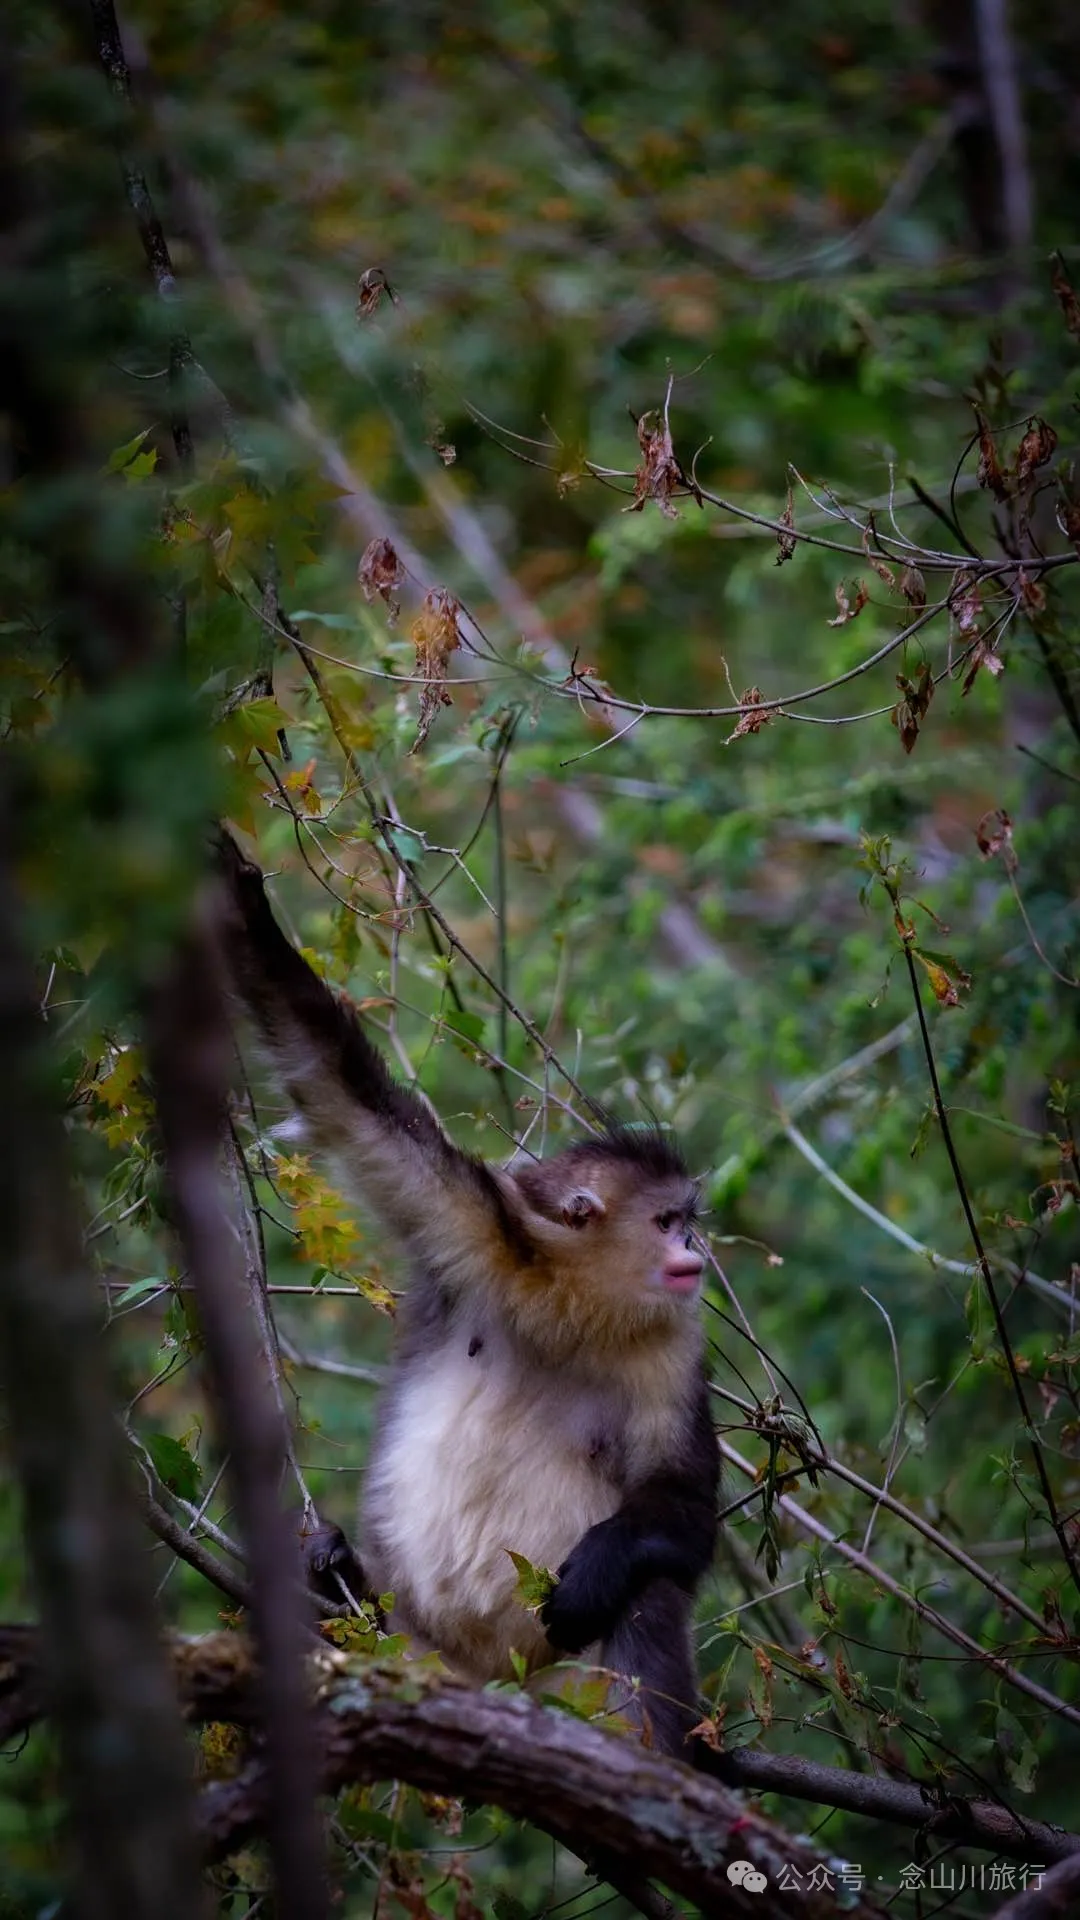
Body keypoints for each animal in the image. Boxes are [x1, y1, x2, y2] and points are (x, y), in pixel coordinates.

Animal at [213, 832, 719, 1759]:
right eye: (669, 1221)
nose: (692, 1254)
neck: (569, 1303)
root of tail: (480, 1675)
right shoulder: (474, 1227)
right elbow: (337, 1088)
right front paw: (238, 896)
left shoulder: (674, 1343)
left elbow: (685, 1518)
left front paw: (601, 1568)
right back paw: (335, 1584)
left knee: (648, 1594)